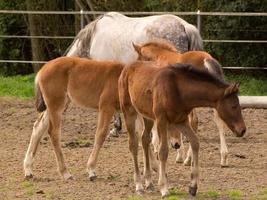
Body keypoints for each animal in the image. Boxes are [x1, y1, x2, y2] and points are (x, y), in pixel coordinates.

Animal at [120, 61, 247, 197]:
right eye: (234, 106)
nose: (242, 130)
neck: (179, 90)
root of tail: (127, 67)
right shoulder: (161, 121)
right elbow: (163, 151)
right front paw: (164, 188)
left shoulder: (181, 121)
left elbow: (195, 142)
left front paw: (193, 186)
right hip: (129, 111)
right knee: (133, 144)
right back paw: (139, 186)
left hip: (147, 116)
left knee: (144, 139)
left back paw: (149, 183)